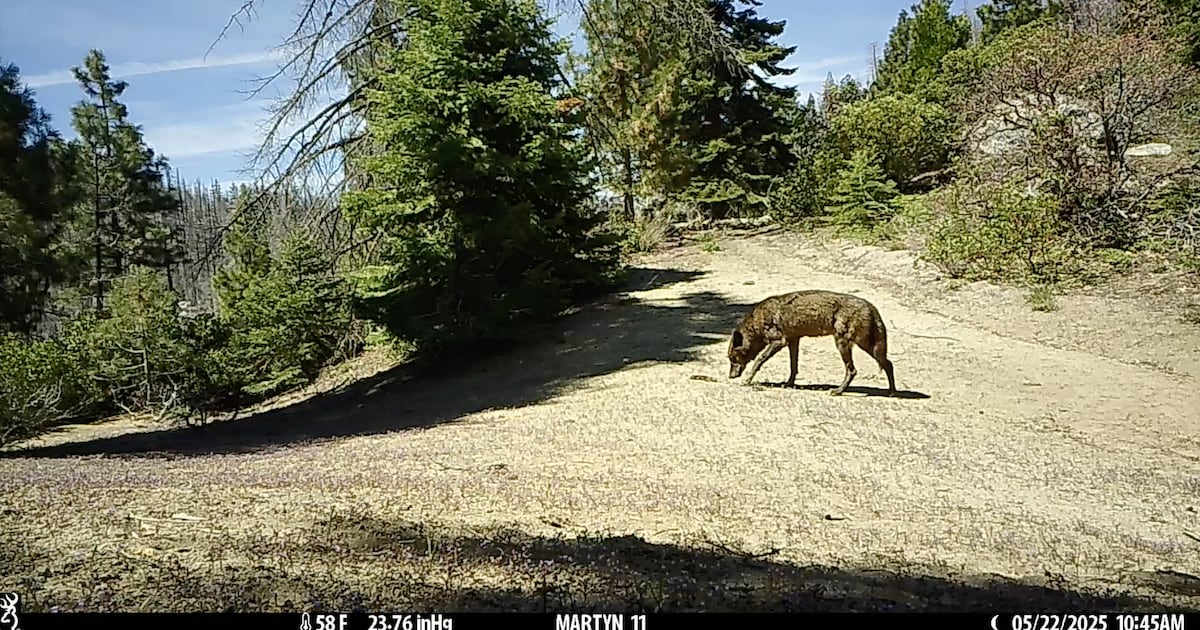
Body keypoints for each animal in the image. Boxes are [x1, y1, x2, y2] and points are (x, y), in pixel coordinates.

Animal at [727, 289, 896, 396]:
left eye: (732, 359)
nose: (730, 376)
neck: (757, 323)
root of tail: (870, 306)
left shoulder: (779, 342)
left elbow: (758, 361)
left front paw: (747, 380)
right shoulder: (793, 340)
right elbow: (793, 366)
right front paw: (789, 384)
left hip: (846, 345)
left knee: (853, 370)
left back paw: (838, 391)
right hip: (867, 347)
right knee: (888, 364)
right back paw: (892, 392)